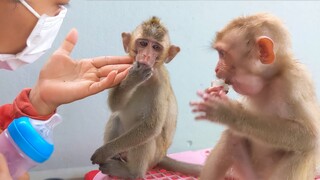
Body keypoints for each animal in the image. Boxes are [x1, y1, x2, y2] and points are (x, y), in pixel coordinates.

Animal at [90, 16, 201, 179]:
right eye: (143, 43)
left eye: (156, 47)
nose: (146, 56)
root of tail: (162, 156)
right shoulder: (123, 68)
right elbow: (115, 105)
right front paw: (134, 77)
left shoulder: (160, 83)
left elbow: (151, 126)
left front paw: (104, 152)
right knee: (116, 117)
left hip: (153, 156)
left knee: (146, 137)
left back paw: (131, 173)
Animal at [190, 13, 320, 180]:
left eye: (222, 54)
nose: (216, 68)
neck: (268, 81)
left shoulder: (295, 81)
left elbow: (310, 136)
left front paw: (229, 113)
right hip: (245, 172)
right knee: (231, 137)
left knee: (301, 152)